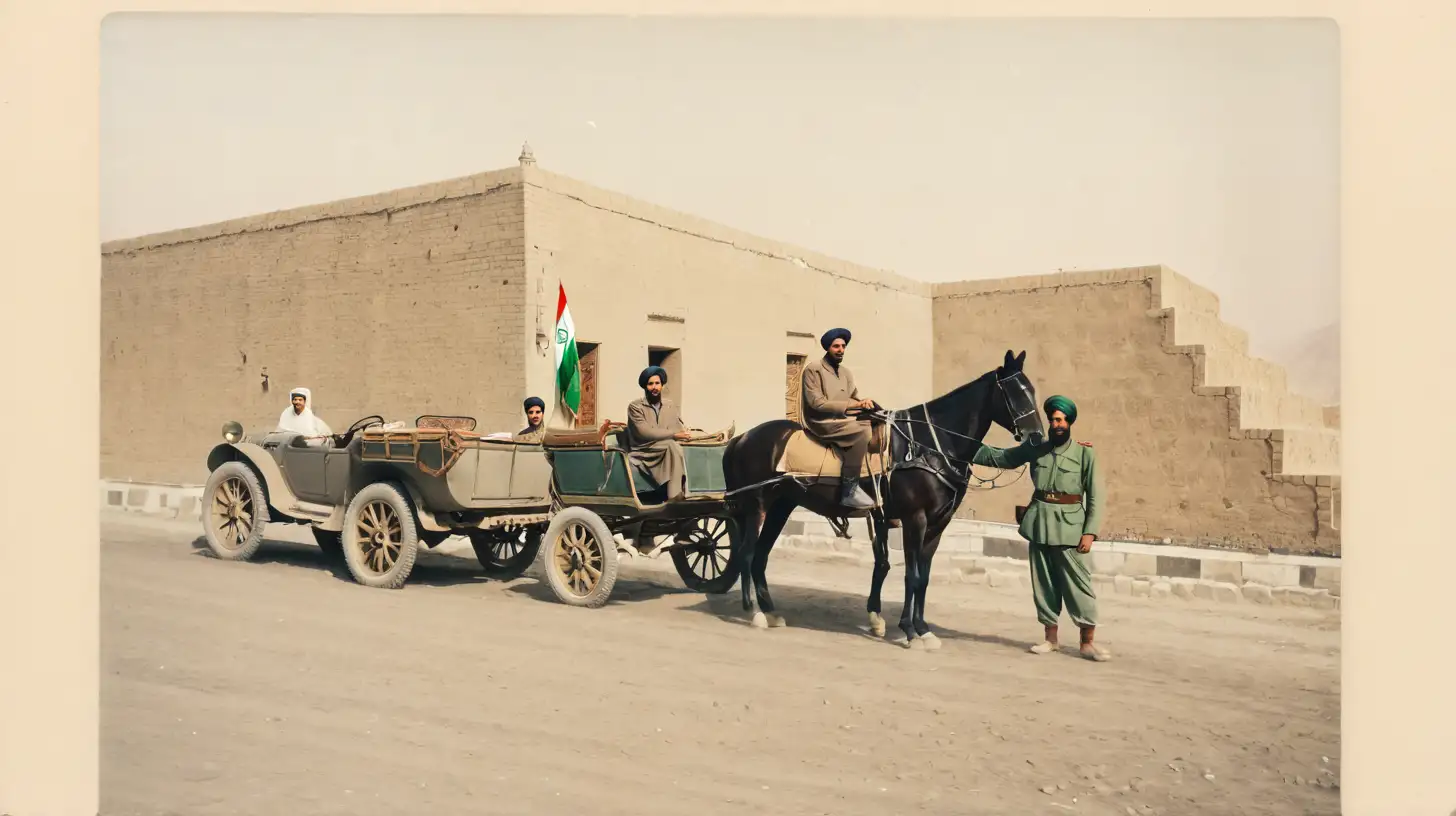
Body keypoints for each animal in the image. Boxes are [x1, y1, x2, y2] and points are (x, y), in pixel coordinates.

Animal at [719, 351, 1042, 649]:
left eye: (1032, 389)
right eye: (1014, 391)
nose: (1037, 437)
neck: (928, 445)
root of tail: (742, 438)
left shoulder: (937, 524)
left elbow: (920, 576)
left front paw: (921, 628)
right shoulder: (915, 519)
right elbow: (911, 575)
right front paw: (909, 630)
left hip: (781, 507)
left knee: (760, 556)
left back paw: (770, 611)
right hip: (756, 506)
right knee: (747, 553)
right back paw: (755, 613)